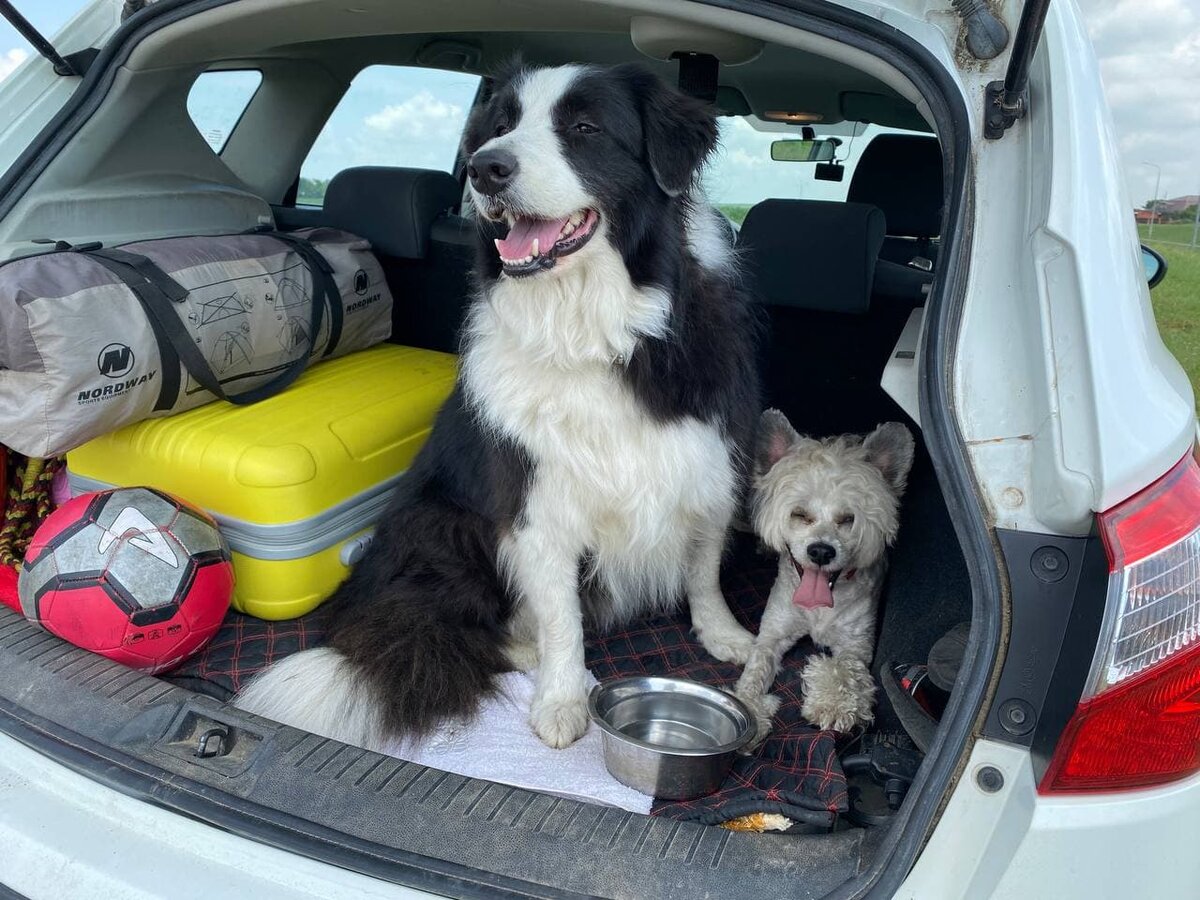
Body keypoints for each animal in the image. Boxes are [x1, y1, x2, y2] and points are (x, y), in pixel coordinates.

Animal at [734, 408, 912, 739]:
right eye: (799, 514)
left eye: (848, 519)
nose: (820, 551)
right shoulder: (772, 634)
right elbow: (755, 671)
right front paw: (750, 709)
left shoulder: (856, 644)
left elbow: (844, 668)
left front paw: (834, 705)